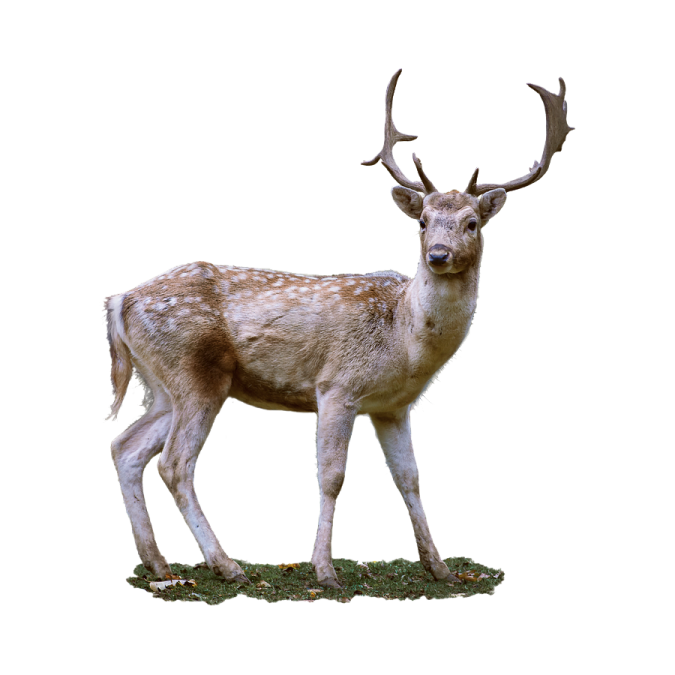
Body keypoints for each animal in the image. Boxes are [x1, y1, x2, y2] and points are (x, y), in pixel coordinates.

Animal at [103, 68, 573, 589]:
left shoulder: (393, 406)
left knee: (125, 447)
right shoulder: (336, 387)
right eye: (423, 221)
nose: (437, 254)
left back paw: (158, 563)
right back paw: (226, 566)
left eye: (472, 223)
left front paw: (440, 568)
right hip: (195, 372)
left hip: (161, 383)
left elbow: (410, 478)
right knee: (174, 463)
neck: (405, 341)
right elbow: (331, 475)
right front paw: (325, 571)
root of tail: (119, 301)